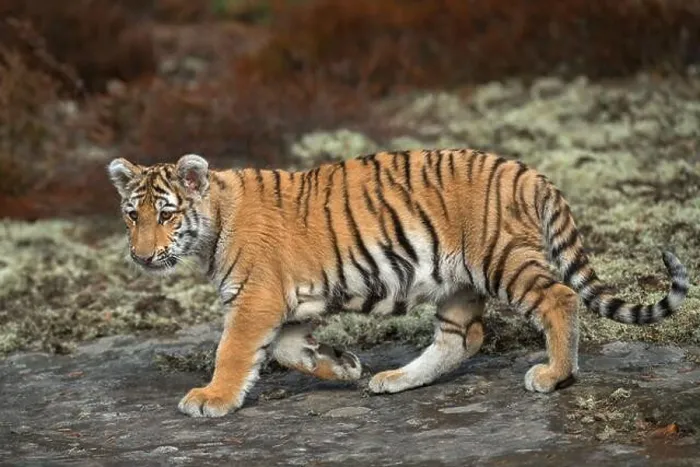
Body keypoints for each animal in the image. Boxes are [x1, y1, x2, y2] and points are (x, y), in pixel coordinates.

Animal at [107, 149, 689, 418]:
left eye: (165, 215)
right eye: (131, 215)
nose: (140, 255)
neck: (211, 227)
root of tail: (529, 172)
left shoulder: (256, 300)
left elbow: (232, 351)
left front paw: (211, 398)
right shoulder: (289, 303)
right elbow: (289, 351)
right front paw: (342, 365)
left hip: (501, 259)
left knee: (560, 297)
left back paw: (555, 375)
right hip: (457, 283)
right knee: (463, 339)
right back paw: (394, 380)